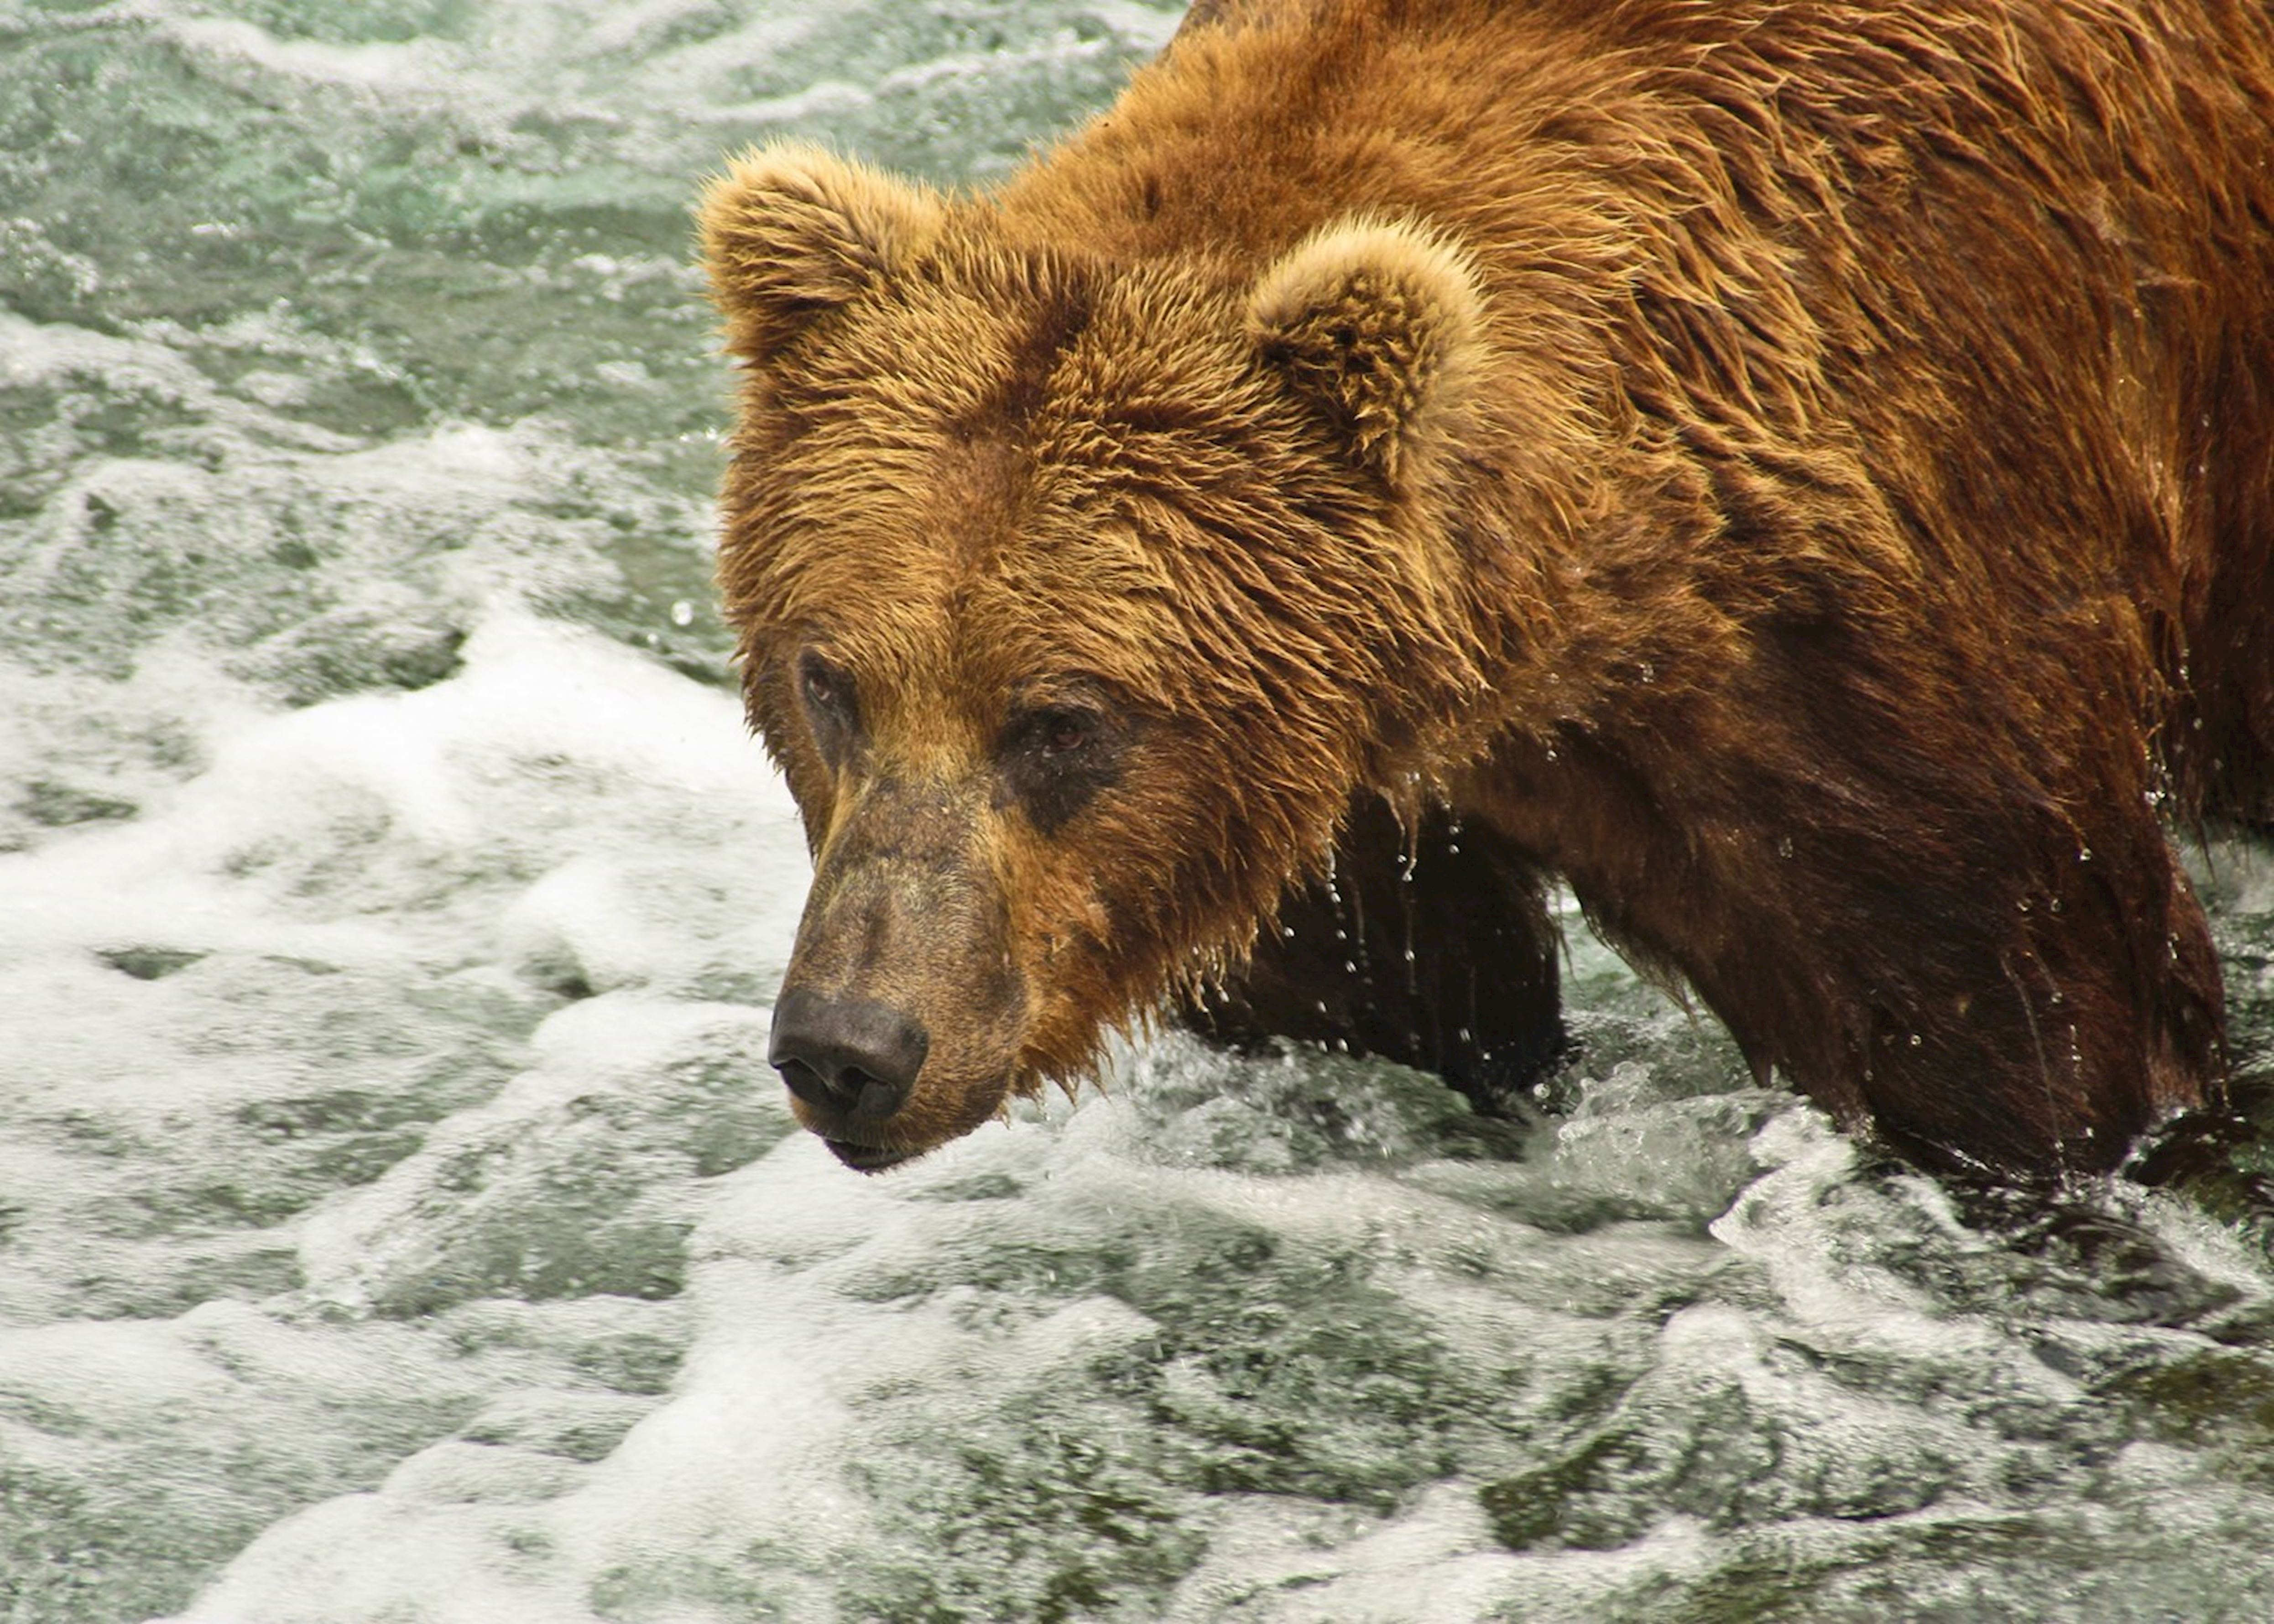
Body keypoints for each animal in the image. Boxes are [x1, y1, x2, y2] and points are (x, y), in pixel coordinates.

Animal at [700, 0, 2265, 1173]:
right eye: (829, 681)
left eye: (1061, 720)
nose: (850, 1046)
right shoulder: (1324, 813)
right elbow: (1409, 1011)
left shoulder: (1876, 655)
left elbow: (2035, 1030)